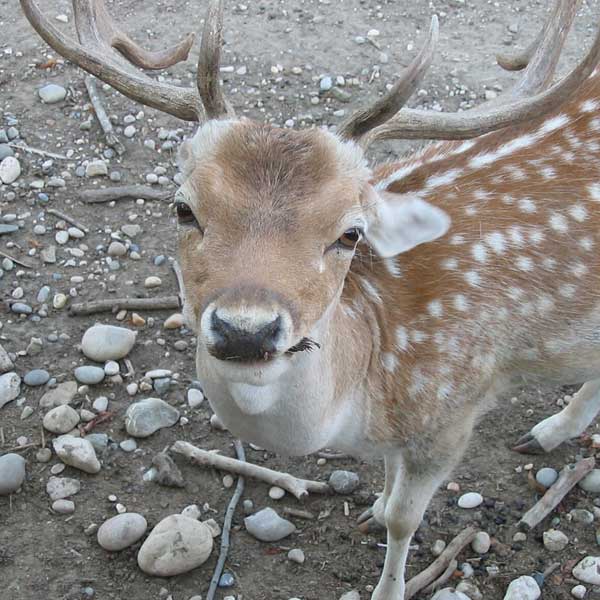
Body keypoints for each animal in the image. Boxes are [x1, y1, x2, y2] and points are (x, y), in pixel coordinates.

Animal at [22, 0, 600, 596]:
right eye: (183, 207)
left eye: (351, 233)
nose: (245, 330)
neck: (365, 396)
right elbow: (388, 489)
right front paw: (373, 505)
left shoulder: (452, 410)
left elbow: (404, 520)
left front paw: (388, 582)